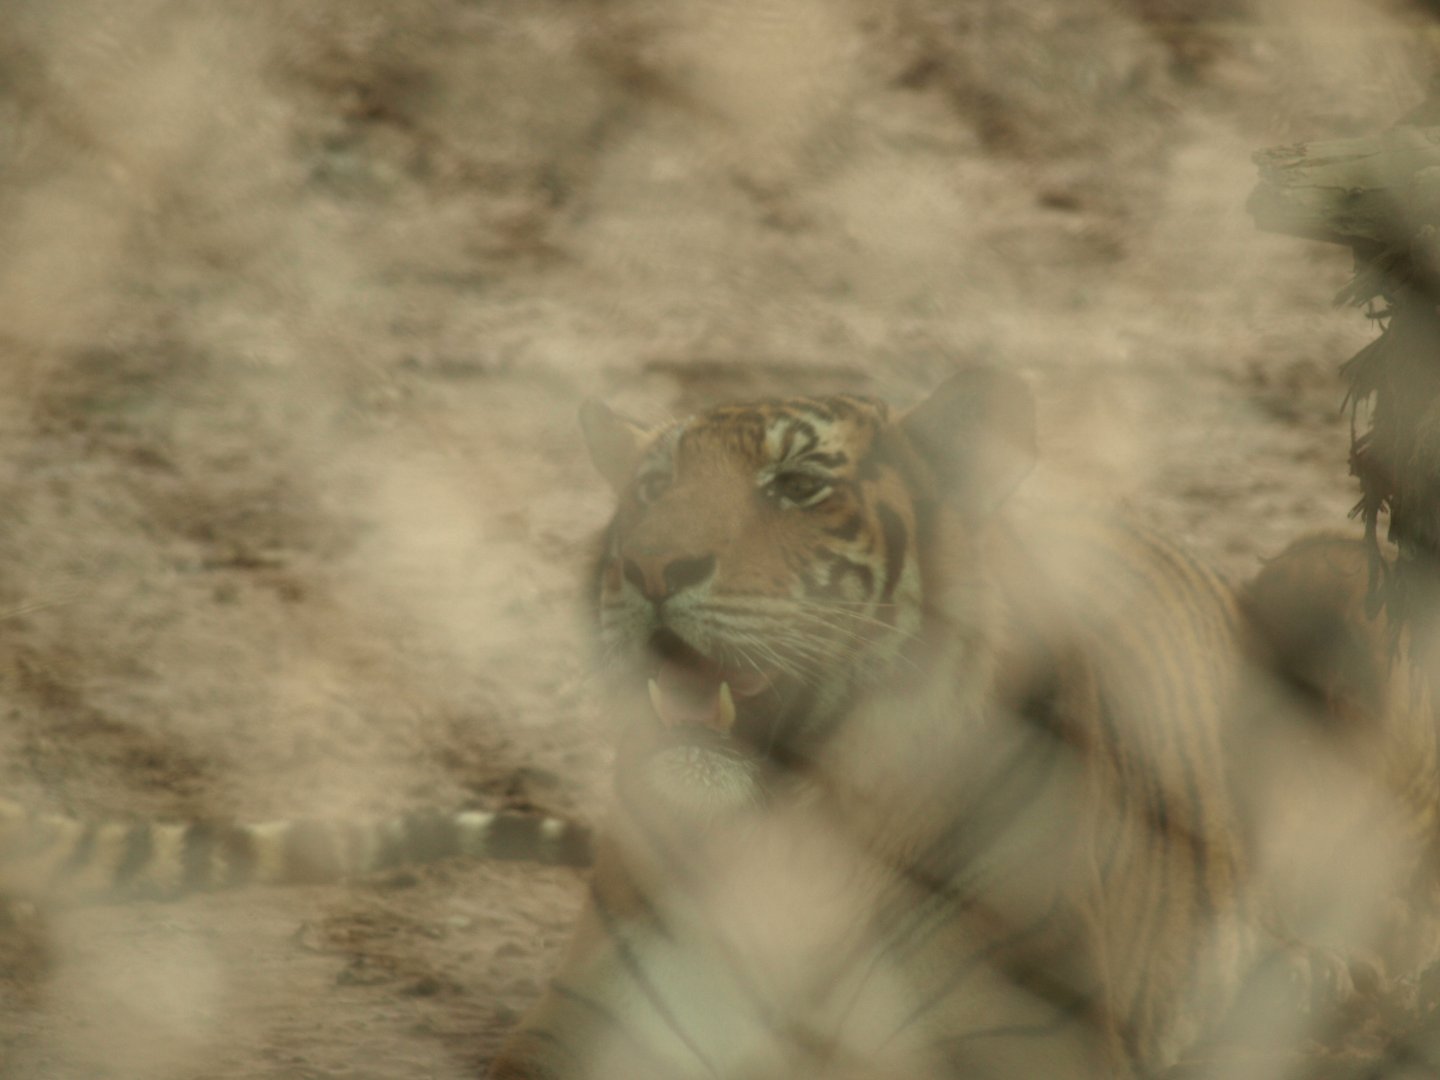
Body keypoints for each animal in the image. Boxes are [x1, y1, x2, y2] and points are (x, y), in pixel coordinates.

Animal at [486, 367, 1266, 1079]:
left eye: (796, 484)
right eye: (653, 487)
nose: (647, 565)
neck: (782, 838)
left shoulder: (1031, 1041)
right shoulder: (579, 1027)